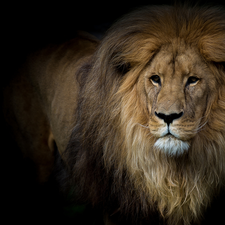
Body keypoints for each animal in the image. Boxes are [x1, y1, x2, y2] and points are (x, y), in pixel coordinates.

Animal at [3, 3, 225, 225]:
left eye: (193, 80)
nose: (167, 116)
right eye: (155, 79)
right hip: (37, 162)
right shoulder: (116, 207)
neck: (174, 174)